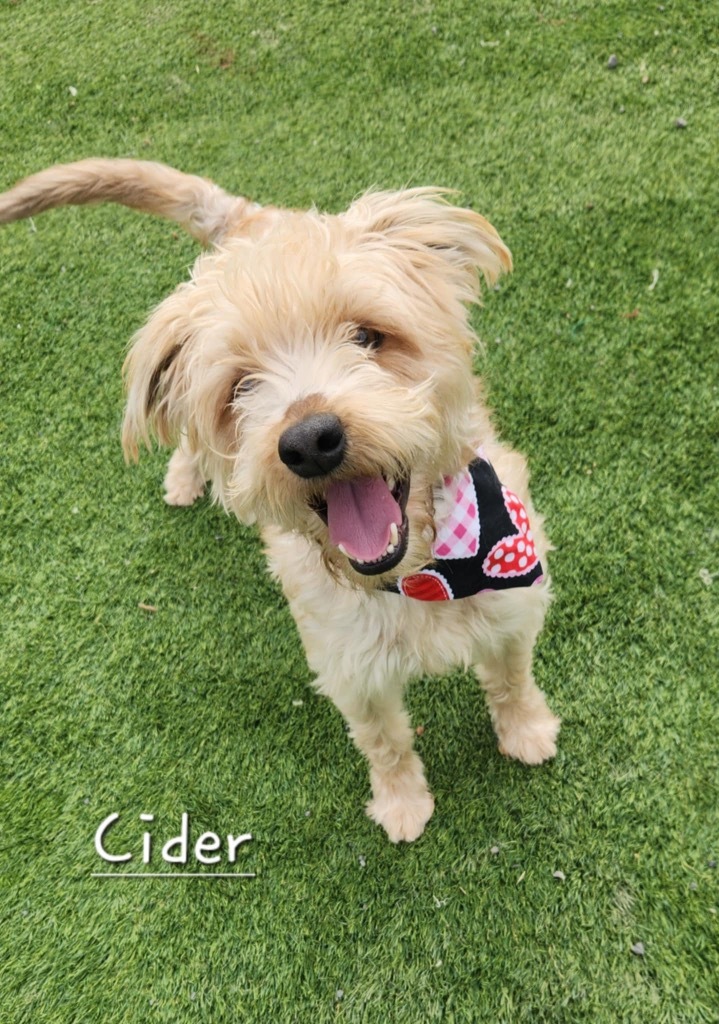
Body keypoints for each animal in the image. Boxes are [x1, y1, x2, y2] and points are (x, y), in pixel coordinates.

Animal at [0, 159, 561, 839]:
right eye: (242, 387)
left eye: (368, 336)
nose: (310, 441)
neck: (421, 576)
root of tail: (255, 219)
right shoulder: (351, 672)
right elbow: (385, 742)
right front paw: (403, 804)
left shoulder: (513, 606)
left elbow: (511, 679)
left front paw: (527, 733)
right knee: (186, 437)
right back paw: (184, 480)